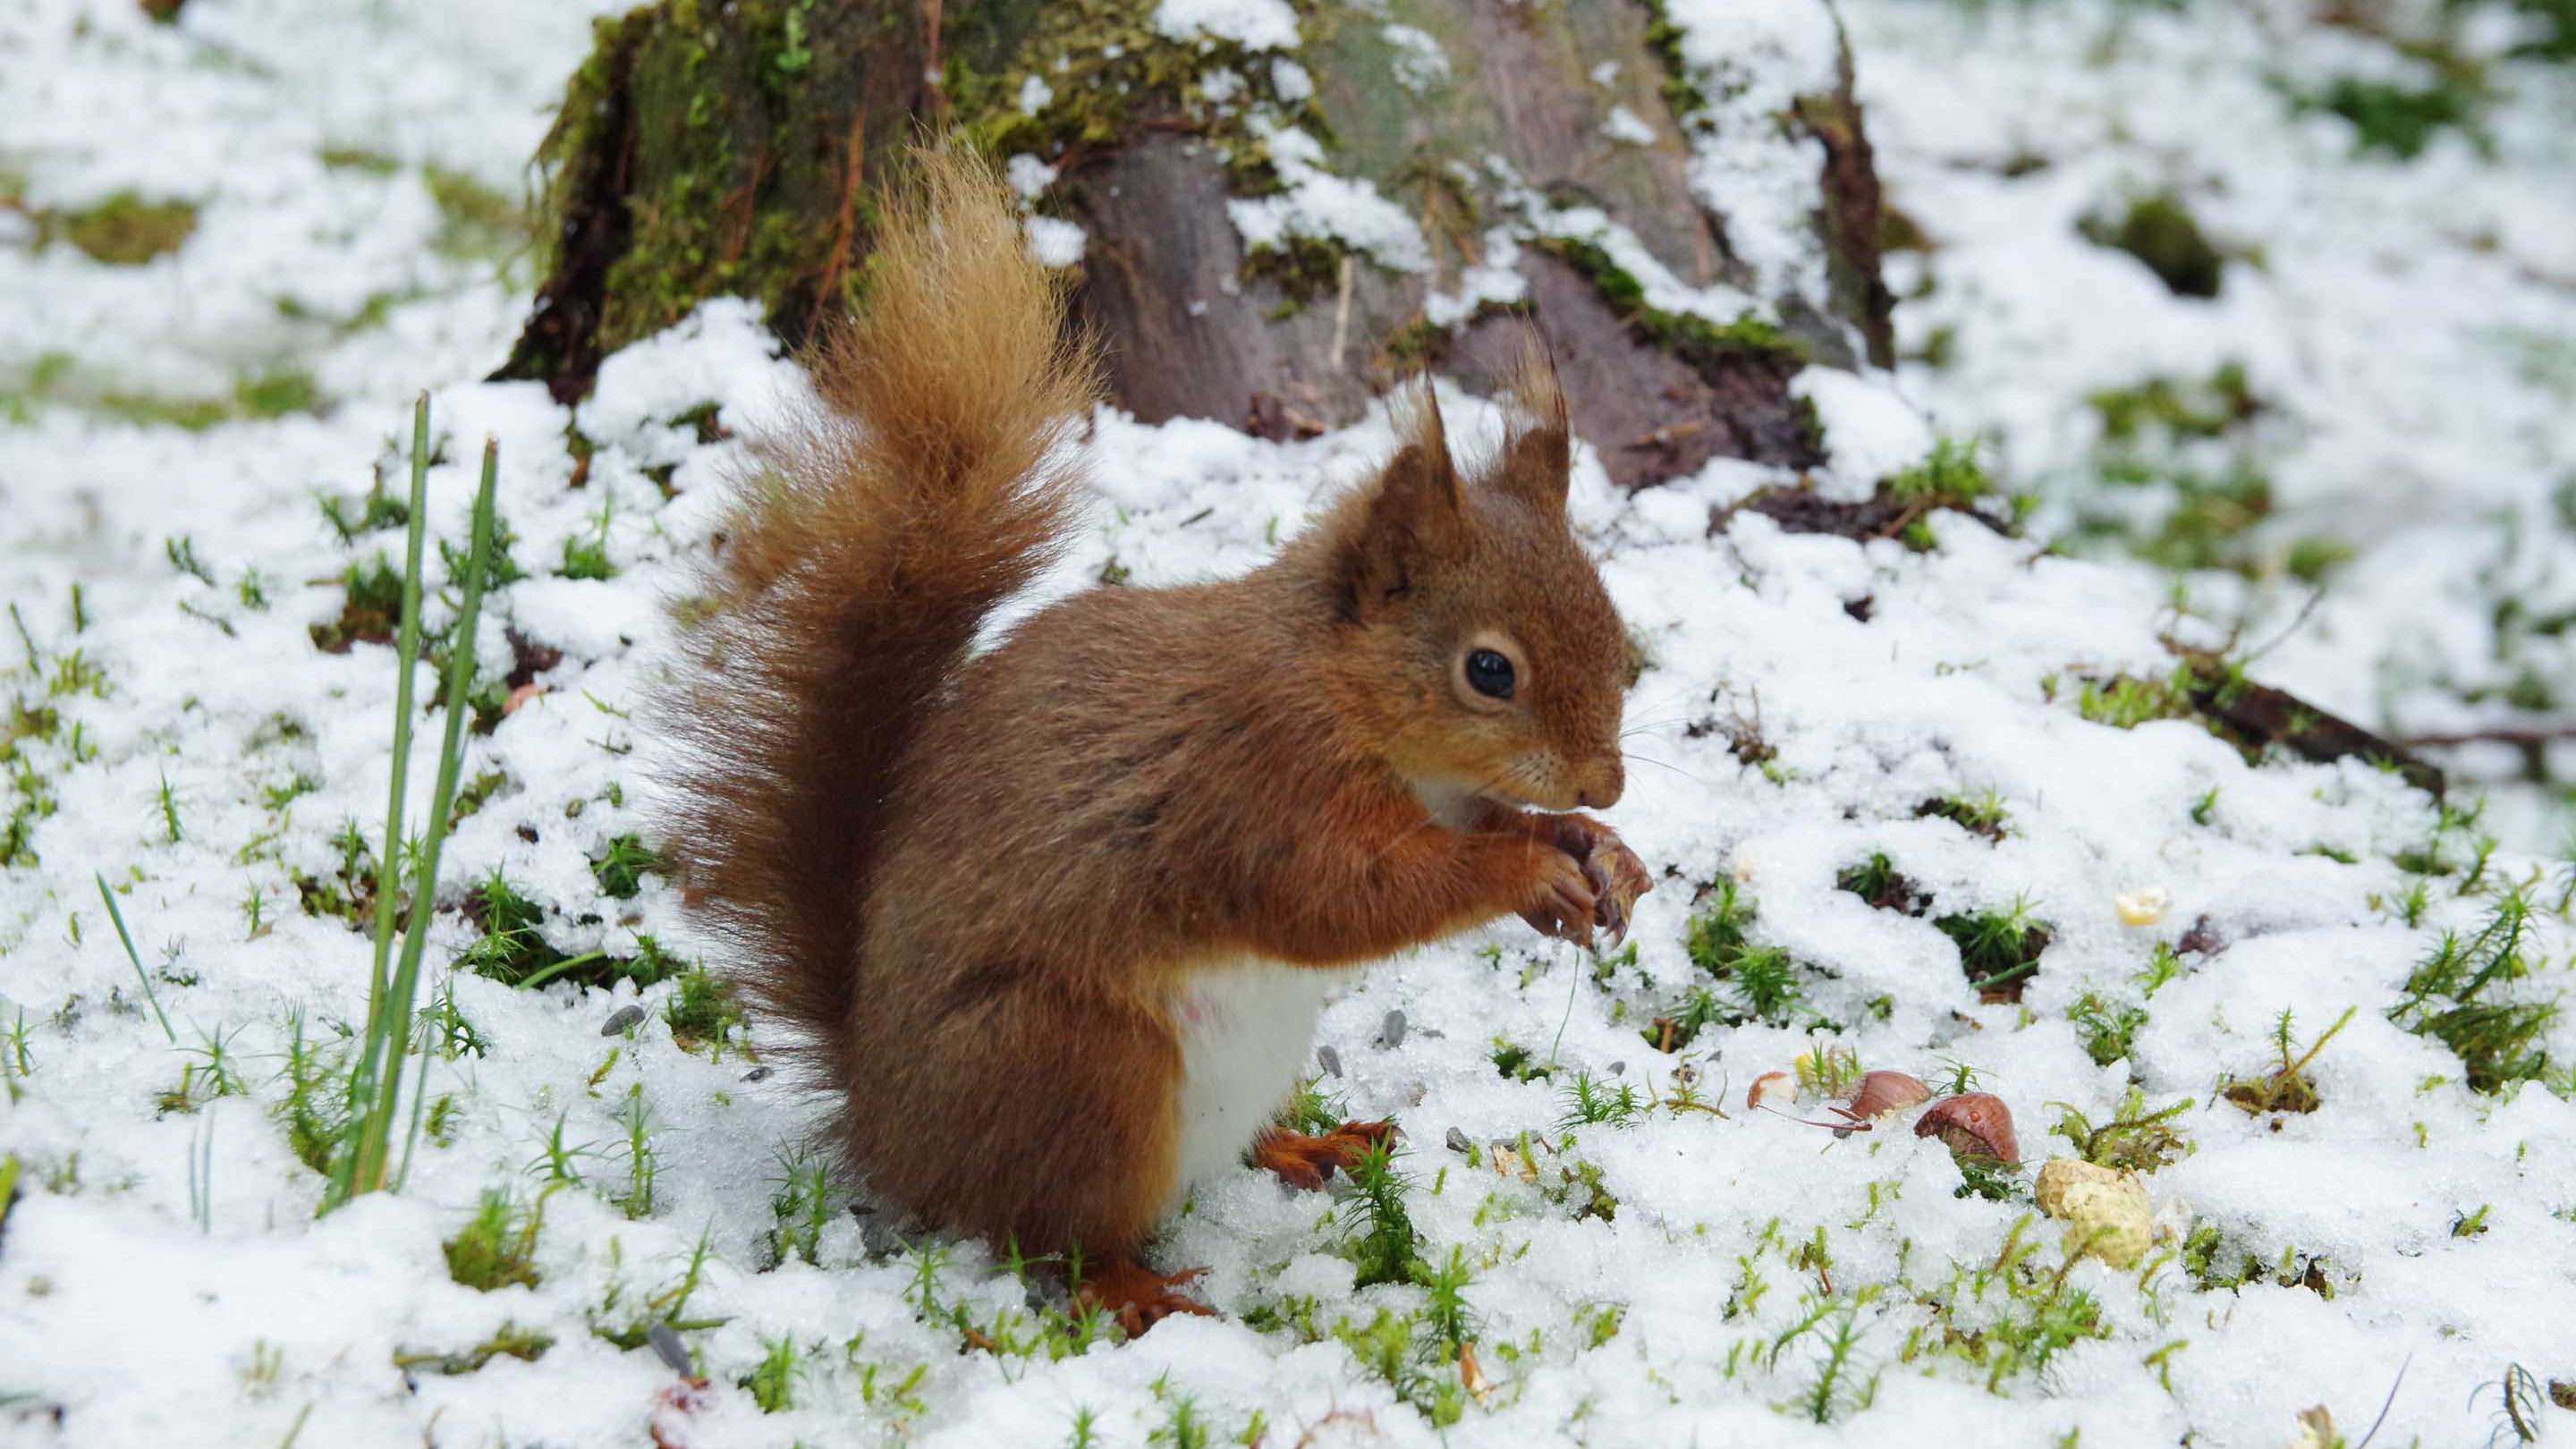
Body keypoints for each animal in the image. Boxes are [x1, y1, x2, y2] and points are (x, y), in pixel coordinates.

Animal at [659, 148, 1651, 1332]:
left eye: (1615, 620)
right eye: (1489, 671)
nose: (1608, 782)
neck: (1349, 699)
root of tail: (884, 1124)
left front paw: (1597, 855)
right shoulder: (1258, 786)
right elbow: (1341, 900)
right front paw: (1525, 870)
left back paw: (1306, 1142)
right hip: (1086, 1065)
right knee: (1045, 1229)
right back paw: (1137, 1289)